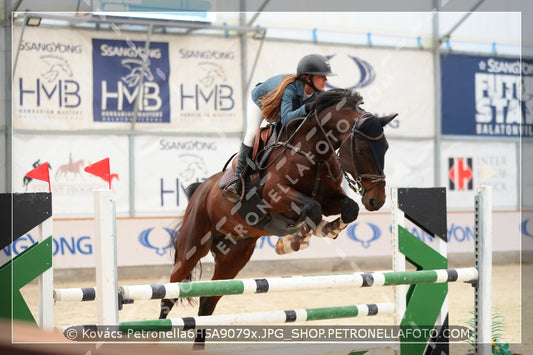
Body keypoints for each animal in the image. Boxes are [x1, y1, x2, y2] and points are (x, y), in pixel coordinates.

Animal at [158, 89, 394, 348]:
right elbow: (311, 209)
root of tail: (201, 188)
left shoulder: (330, 198)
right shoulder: (276, 195)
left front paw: (327, 230)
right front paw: (292, 242)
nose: (377, 200)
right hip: (192, 246)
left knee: (208, 302)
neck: (314, 151)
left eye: (386, 147)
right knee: (169, 295)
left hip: (233, 258)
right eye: (361, 150)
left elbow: (348, 208)